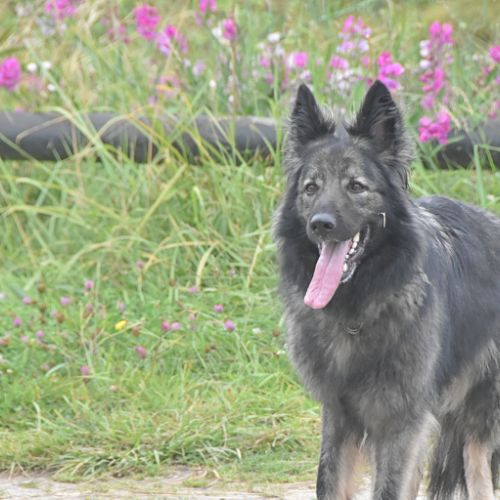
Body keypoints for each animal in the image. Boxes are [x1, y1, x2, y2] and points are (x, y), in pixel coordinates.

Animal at [274, 80, 500, 500]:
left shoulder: (401, 421)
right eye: (311, 187)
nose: (320, 224)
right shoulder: (340, 415)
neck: (357, 307)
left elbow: (388, 489)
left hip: (482, 407)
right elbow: (328, 482)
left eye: (356, 186)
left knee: (476, 466)